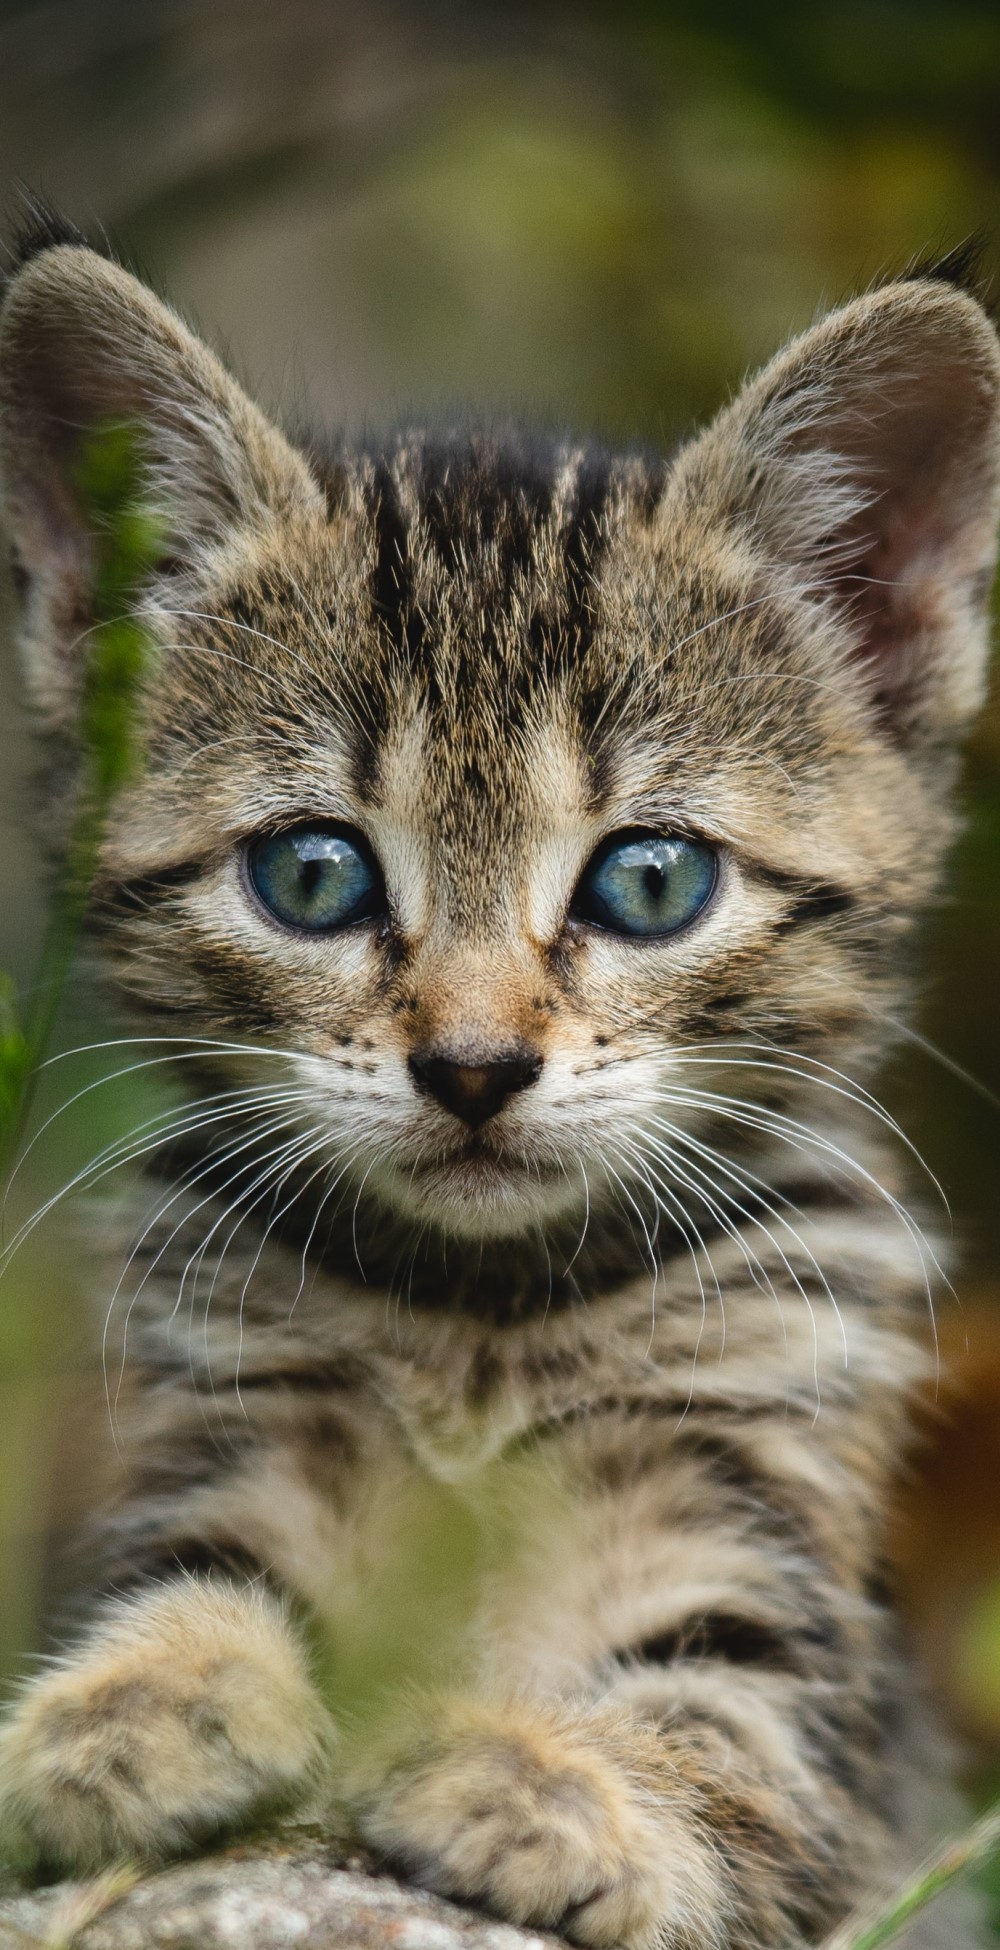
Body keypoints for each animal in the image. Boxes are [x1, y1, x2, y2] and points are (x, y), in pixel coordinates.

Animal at [1, 213, 998, 1950]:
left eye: (652, 882)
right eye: (314, 875)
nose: (474, 1063)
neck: (484, 1316)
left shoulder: (785, 1581)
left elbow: (728, 1728)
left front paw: (554, 1778)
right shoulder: (228, 1406)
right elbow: (195, 1570)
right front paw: (126, 1701)